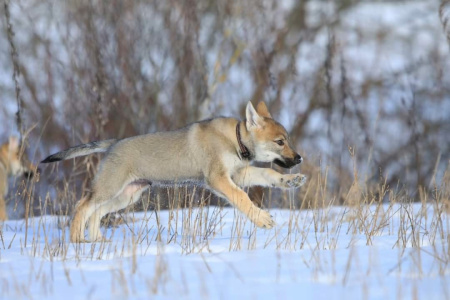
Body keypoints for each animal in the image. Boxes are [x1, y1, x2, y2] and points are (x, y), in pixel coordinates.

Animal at [41, 102, 306, 243]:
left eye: (288, 140)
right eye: (280, 142)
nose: (299, 158)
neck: (235, 139)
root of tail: (114, 143)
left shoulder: (237, 174)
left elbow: (268, 176)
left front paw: (291, 181)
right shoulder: (218, 179)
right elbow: (242, 198)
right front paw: (261, 219)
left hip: (127, 195)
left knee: (96, 212)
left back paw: (98, 241)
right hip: (110, 188)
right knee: (82, 206)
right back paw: (77, 240)